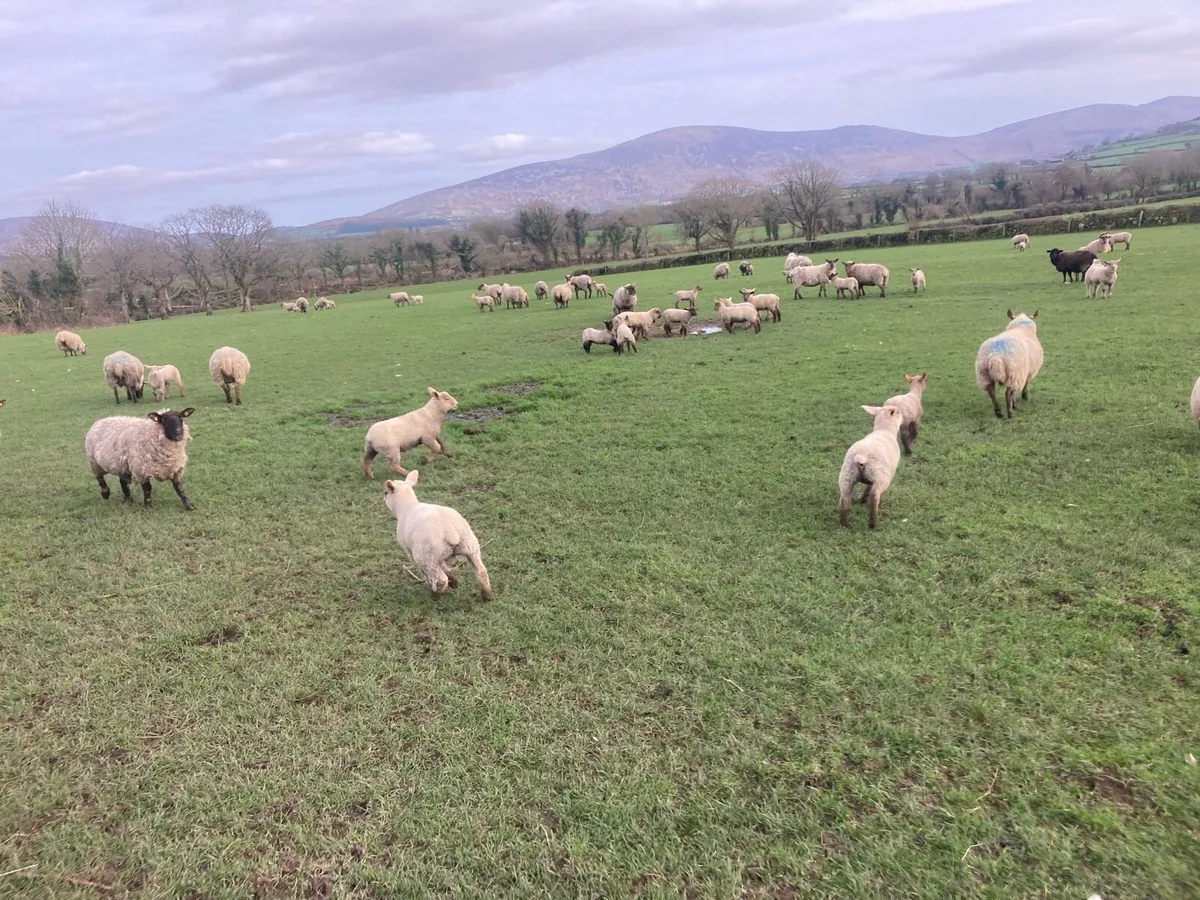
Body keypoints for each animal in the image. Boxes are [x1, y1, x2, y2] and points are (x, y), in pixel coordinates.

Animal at [383, 470, 493, 602]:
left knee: (440, 579)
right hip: (469, 546)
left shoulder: (409, 550)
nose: (383, 499)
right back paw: (487, 595)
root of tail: (450, 531)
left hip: (427, 555)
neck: (406, 505)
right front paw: (453, 580)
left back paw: (434, 594)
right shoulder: (439, 556)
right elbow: (444, 566)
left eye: (385, 492)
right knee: (481, 571)